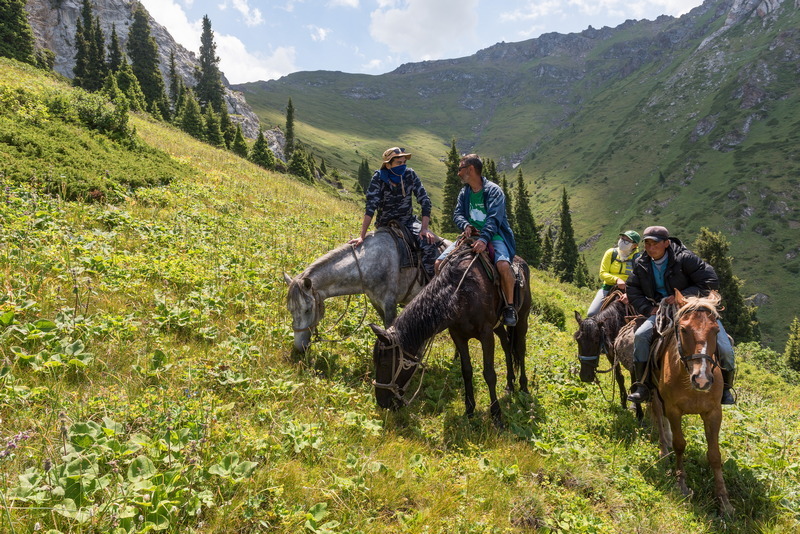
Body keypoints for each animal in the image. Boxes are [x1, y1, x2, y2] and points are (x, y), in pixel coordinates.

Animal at [284, 231, 440, 354]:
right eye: (290, 310)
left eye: (308, 310)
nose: (299, 347)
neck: (370, 263)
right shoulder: (376, 301)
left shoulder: (390, 305)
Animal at [368, 245, 532, 426]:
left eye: (384, 364)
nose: (383, 403)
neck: (460, 295)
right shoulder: (458, 336)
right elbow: (466, 371)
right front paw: (469, 410)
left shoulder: (486, 335)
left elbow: (489, 374)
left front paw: (496, 415)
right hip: (499, 325)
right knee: (506, 345)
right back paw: (510, 384)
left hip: (522, 318)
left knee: (520, 349)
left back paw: (524, 388)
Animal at [572, 292, 640, 420]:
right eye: (578, 340)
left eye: (596, 341)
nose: (585, 377)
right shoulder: (611, 355)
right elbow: (619, 378)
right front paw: (623, 402)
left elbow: (634, 384)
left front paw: (638, 412)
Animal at [648, 292, 732, 516]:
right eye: (684, 329)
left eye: (716, 330)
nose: (701, 379)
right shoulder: (673, 409)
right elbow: (680, 444)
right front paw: (681, 484)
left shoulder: (713, 412)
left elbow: (714, 455)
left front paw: (724, 501)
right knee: (658, 415)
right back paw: (663, 449)